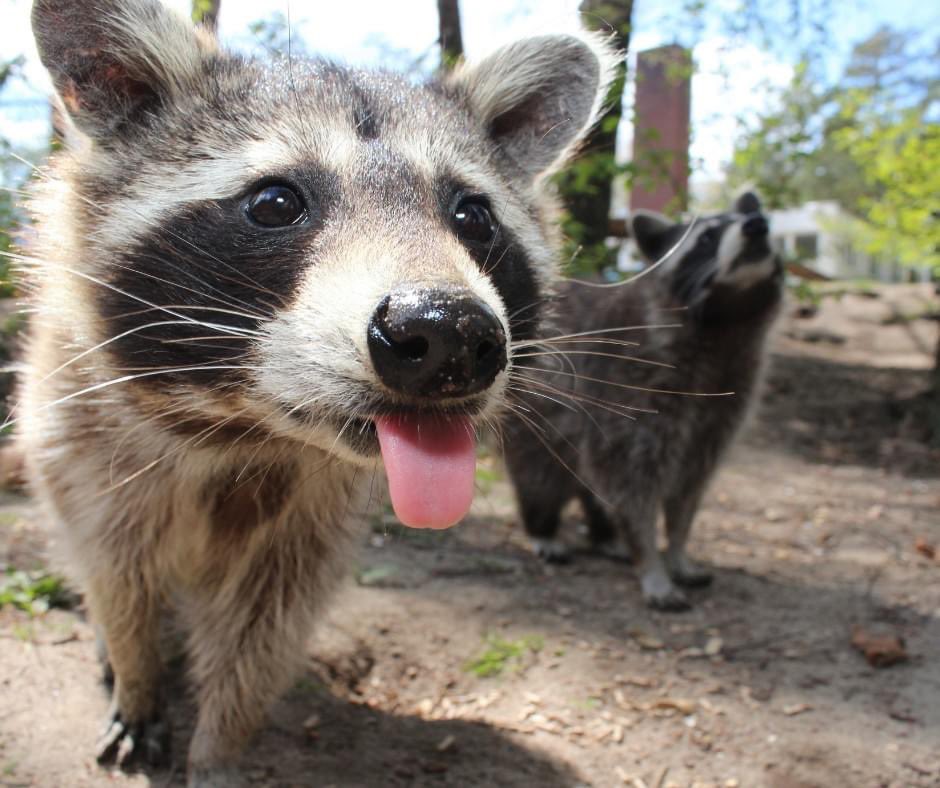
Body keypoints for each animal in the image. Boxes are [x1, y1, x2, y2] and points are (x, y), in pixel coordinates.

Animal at [17, 1, 614, 783]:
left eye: (473, 216)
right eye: (275, 202)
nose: (448, 333)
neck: (247, 426)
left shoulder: (312, 522)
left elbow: (264, 630)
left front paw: (221, 744)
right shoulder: (85, 441)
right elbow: (118, 576)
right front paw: (138, 675)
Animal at [503, 192, 783, 611]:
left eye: (760, 219)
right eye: (706, 238)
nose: (757, 225)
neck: (725, 321)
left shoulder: (724, 404)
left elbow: (689, 488)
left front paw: (678, 549)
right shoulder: (629, 387)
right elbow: (632, 485)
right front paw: (650, 559)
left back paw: (603, 535)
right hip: (536, 418)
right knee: (540, 476)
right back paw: (543, 528)